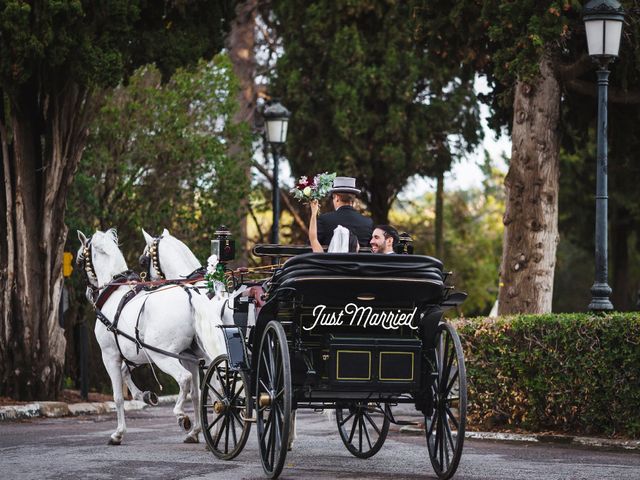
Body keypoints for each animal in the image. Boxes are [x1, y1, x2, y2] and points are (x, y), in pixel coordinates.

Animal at [76, 231, 226, 444]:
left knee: (185, 379)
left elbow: (117, 397)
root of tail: (190, 294)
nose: (89, 292)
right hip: (196, 355)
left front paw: (118, 433)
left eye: (80, 259)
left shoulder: (110, 355)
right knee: (214, 389)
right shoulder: (140, 354)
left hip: (163, 356)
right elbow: (127, 374)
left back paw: (181, 415)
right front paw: (145, 396)